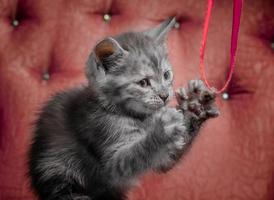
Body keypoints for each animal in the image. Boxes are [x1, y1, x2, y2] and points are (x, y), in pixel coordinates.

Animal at [27, 17, 219, 200]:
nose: (165, 95)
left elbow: (168, 156)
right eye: (143, 82)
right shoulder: (105, 152)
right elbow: (133, 156)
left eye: (166, 75)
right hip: (56, 169)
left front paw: (194, 108)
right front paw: (162, 131)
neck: (141, 118)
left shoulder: (163, 157)